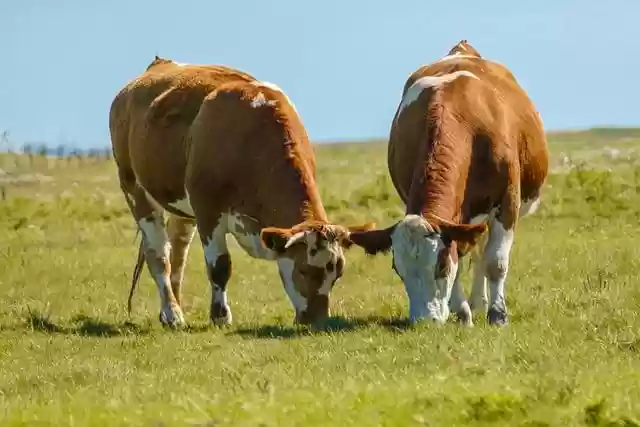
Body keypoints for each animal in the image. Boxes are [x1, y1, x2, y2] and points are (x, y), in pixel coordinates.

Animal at [109, 56, 374, 328]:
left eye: (337, 274)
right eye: (303, 270)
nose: (318, 320)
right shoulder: (208, 210)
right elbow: (219, 266)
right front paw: (220, 316)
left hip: (180, 208)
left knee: (178, 255)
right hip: (134, 189)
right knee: (159, 255)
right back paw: (173, 313)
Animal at [348, 40, 549, 326]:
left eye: (440, 265)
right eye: (398, 270)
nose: (424, 320)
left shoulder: (508, 202)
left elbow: (496, 262)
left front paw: (498, 315)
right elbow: (462, 258)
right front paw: (462, 312)